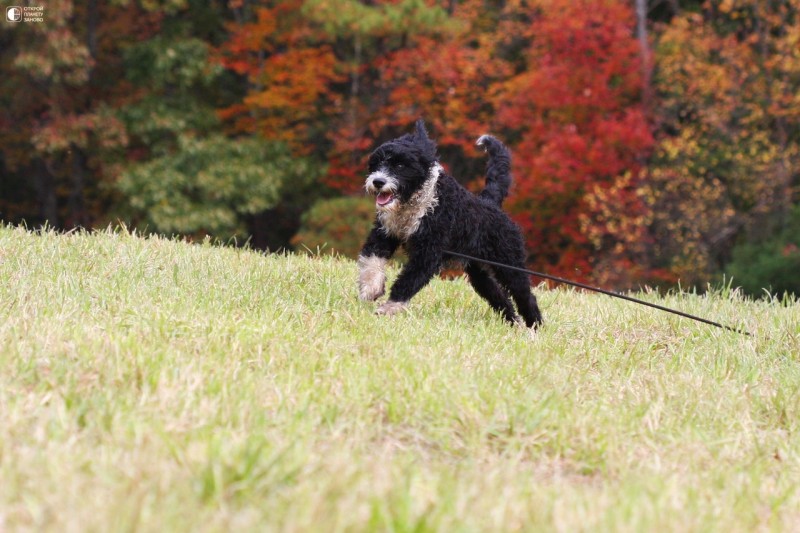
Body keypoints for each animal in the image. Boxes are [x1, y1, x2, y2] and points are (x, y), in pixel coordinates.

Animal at [358, 120, 540, 328]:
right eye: (378, 163)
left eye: (400, 165)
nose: (378, 181)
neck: (417, 202)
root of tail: (490, 203)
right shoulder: (384, 234)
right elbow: (371, 259)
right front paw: (371, 289)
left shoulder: (428, 253)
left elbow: (408, 281)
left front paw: (389, 308)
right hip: (478, 272)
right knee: (499, 297)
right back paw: (513, 323)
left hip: (509, 265)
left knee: (525, 296)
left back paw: (535, 326)